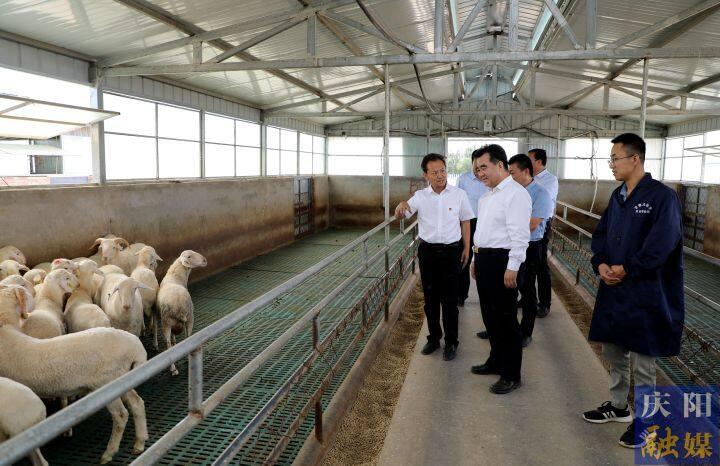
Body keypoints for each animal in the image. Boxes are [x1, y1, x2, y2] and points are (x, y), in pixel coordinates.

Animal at [0, 286, 148, 464]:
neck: (6, 331)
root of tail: (136, 346)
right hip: (124, 379)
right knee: (137, 403)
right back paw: (140, 442)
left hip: (108, 383)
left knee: (120, 414)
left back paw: (109, 452)